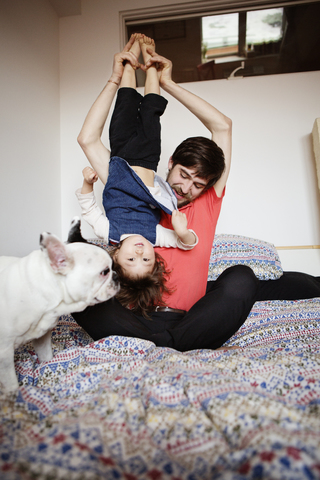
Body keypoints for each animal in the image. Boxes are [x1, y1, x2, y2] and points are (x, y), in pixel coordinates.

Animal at [0, 219, 119, 392]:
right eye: (104, 272)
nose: (116, 276)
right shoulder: (4, 354)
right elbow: (11, 384)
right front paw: (15, 396)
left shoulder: (42, 337)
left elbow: (46, 358)